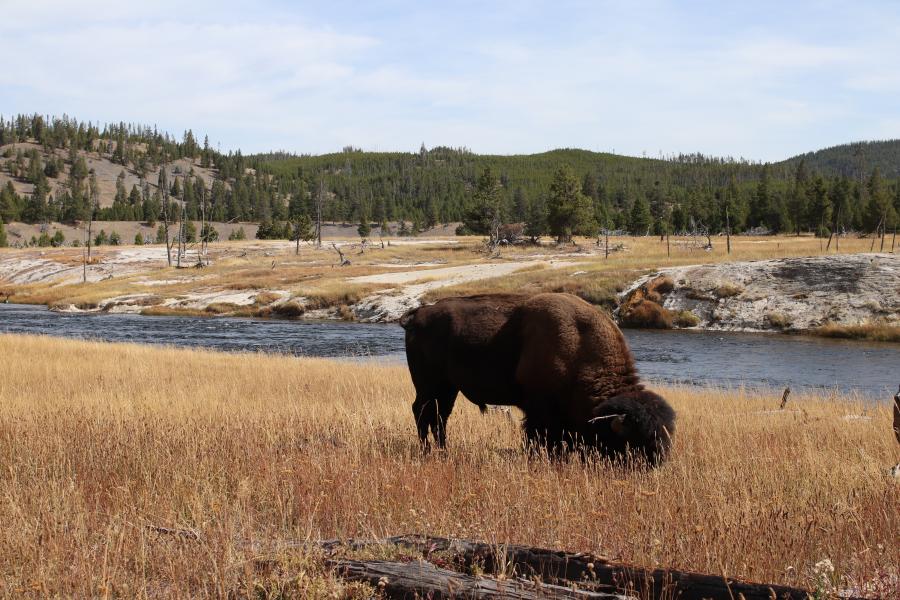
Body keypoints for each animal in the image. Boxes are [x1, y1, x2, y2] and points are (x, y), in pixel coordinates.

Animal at [400, 290, 676, 464]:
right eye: (632, 441)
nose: (654, 464)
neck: (578, 346)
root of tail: (418, 315)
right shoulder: (539, 409)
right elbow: (538, 436)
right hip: (428, 385)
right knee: (422, 413)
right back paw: (427, 451)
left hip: (448, 387)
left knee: (439, 417)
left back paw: (443, 450)